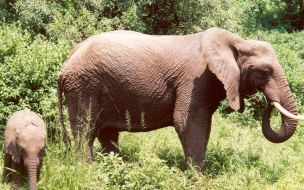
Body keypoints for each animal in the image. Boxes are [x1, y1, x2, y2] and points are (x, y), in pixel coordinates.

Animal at [57, 27, 304, 171]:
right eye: (265, 71)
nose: (268, 102)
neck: (236, 42)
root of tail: (65, 64)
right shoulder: (194, 80)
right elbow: (187, 123)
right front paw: (199, 178)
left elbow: (203, 126)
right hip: (84, 87)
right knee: (86, 131)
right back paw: (87, 172)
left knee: (107, 134)